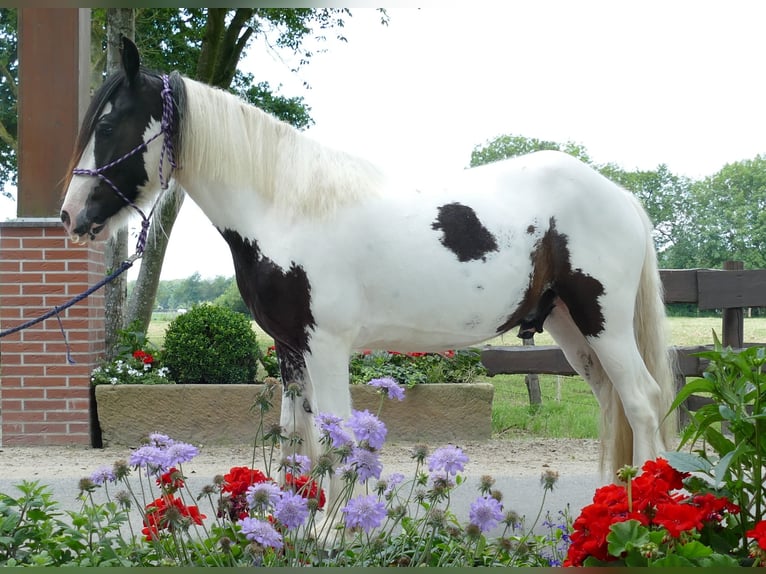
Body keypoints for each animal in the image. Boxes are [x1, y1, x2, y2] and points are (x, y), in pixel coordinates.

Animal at [60, 38, 676, 504]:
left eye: (109, 125)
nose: (70, 215)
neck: (287, 207)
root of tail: (621, 195)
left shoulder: (327, 346)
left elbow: (333, 438)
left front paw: (331, 534)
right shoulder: (290, 348)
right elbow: (295, 439)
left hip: (603, 322)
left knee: (642, 401)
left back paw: (640, 511)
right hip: (570, 326)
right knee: (614, 403)